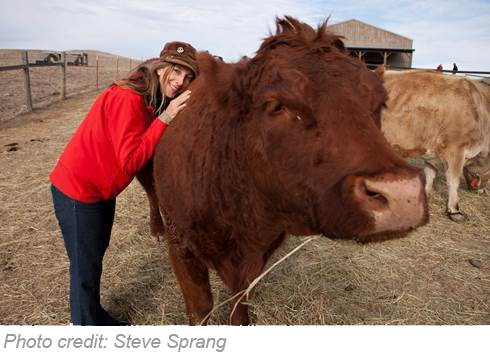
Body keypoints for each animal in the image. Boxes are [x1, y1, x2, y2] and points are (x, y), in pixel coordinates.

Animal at [139, 17, 428, 326]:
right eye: (277, 104)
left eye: (380, 103)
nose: (402, 192)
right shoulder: (182, 250)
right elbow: (200, 311)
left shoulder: (257, 256)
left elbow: (240, 306)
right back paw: (155, 229)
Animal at [382, 68, 490, 221]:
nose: (483, 191)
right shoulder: (455, 149)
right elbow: (453, 180)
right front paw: (454, 210)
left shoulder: (431, 154)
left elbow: (430, 174)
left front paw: (426, 193)